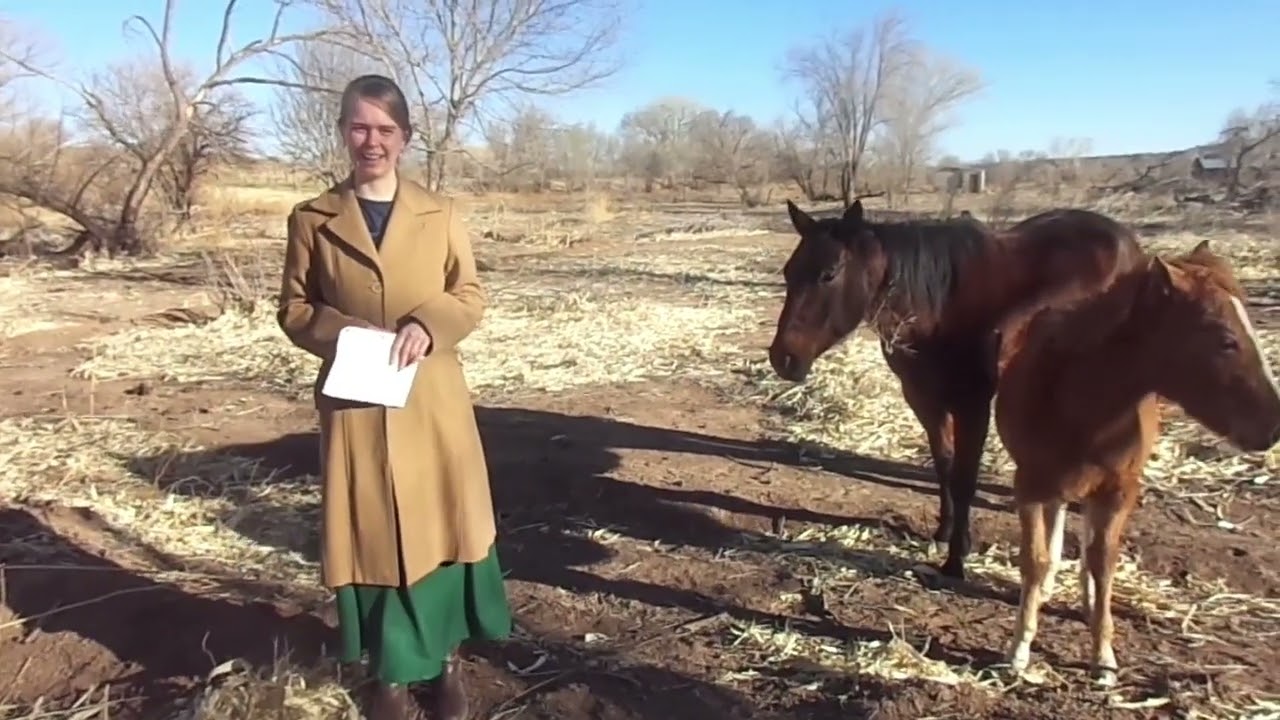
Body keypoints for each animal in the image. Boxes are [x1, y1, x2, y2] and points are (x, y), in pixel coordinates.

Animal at [769, 199, 1146, 579]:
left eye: (829, 274)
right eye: (788, 272)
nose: (783, 358)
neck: (940, 309)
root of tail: (1128, 241)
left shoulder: (973, 405)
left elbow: (964, 477)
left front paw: (957, 557)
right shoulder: (923, 398)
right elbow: (944, 465)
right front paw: (944, 531)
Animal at [993, 239, 1280, 684]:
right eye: (1225, 339)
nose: (1273, 426)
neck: (1083, 403)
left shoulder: (1119, 489)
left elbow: (1103, 562)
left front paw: (1103, 657)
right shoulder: (1030, 484)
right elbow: (1036, 559)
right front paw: (1019, 650)